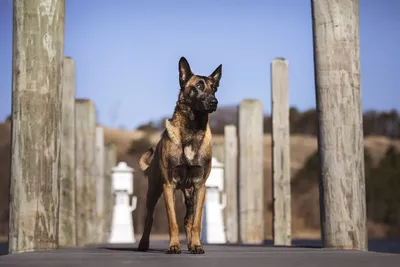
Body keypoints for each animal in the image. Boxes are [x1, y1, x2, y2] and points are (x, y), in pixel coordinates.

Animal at [138, 57, 222, 255]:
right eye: (198, 86)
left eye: (214, 88)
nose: (214, 101)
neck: (192, 130)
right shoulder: (168, 186)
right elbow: (172, 221)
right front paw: (174, 246)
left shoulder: (199, 187)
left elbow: (196, 222)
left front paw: (197, 245)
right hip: (153, 192)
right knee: (149, 218)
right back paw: (143, 244)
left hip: (189, 195)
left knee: (188, 220)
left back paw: (191, 244)